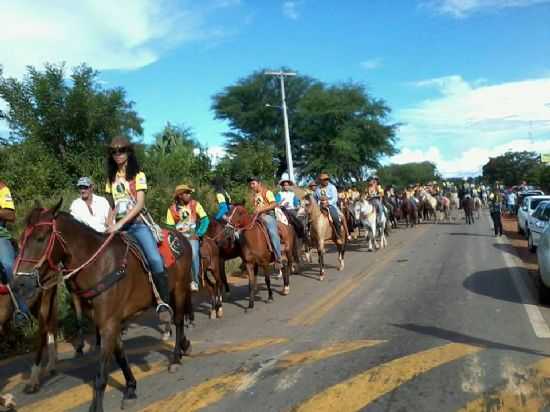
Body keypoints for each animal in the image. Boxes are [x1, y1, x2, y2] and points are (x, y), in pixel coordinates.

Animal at [10, 203, 194, 412]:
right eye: (21, 240)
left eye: (40, 238)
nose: (18, 284)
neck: (98, 266)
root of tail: (181, 237)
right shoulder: (109, 322)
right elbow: (120, 355)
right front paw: (131, 388)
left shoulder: (108, 323)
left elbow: (101, 374)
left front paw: (98, 405)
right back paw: (184, 345)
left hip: (180, 288)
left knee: (178, 321)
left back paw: (176, 358)